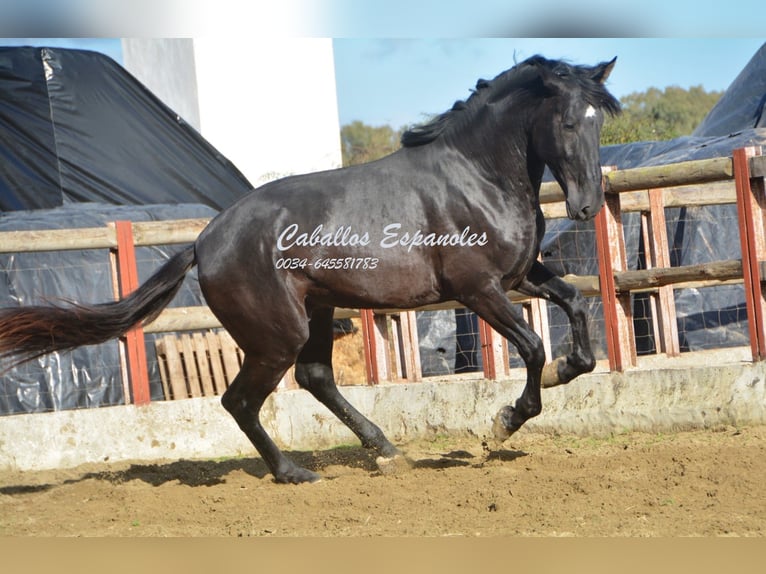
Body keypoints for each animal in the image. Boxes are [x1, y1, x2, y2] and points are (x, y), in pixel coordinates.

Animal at [0, 55, 620, 486]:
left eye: (598, 121)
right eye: (567, 122)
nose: (588, 205)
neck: (477, 176)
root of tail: (204, 241)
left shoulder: (520, 275)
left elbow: (577, 307)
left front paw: (569, 369)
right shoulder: (479, 290)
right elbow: (533, 347)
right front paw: (504, 421)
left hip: (317, 309)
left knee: (315, 376)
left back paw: (386, 452)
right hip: (278, 333)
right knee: (242, 400)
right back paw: (294, 472)